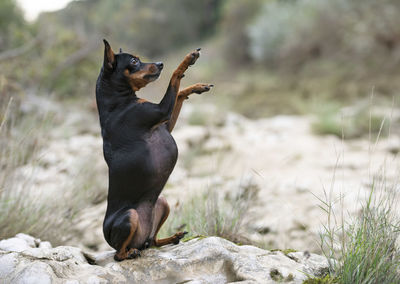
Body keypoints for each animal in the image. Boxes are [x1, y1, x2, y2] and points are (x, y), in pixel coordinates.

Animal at [95, 38, 212, 260]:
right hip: (130, 216)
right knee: (118, 254)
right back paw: (130, 253)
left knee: (153, 242)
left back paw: (172, 237)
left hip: (162, 202)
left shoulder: (165, 125)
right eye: (134, 61)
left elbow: (179, 92)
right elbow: (174, 77)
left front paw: (197, 87)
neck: (118, 102)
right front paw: (187, 60)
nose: (159, 64)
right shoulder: (161, 111)